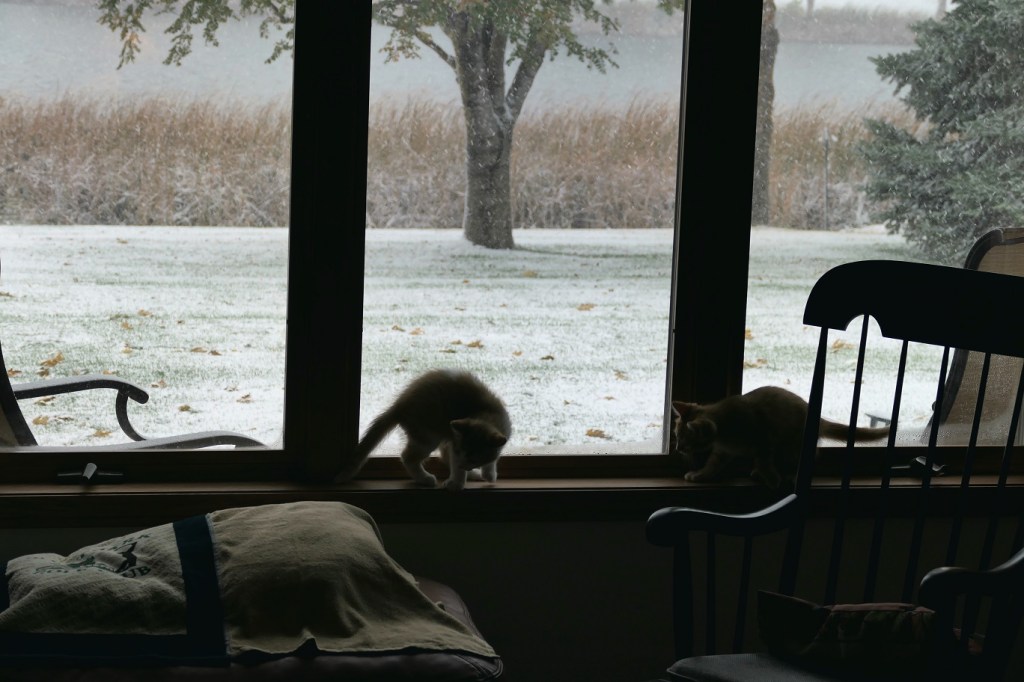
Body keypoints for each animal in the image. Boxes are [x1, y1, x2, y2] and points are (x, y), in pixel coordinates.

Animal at [335, 369, 512, 491]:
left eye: (474, 459)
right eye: (462, 453)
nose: (463, 465)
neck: (488, 414)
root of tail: (401, 404)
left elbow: (492, 458)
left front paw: (489, 474)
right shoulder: (455, 445)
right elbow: (454, 461)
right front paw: (456, 483)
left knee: (441, 455)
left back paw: (473, 475)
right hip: (428, 435)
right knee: (408, 457)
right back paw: (424, 478)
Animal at [672, 385, 889, 492]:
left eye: (685, 440)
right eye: (677, 436)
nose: (677, 449)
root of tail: (818, 420)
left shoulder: (764, 438)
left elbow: (764, 460)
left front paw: (772, 479)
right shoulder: (723, 451)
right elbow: (713, 464)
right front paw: (700, 474)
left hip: (794, 443)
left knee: (807, 458)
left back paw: (787, 475)